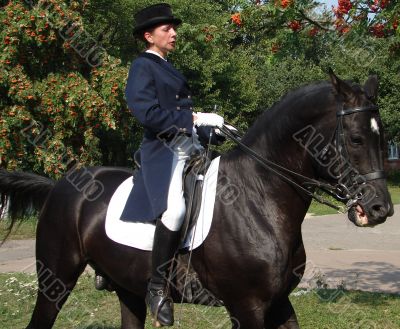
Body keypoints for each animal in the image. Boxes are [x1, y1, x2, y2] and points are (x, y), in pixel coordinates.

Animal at [0, 72, 394, 328]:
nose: (380, 209)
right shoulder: (247, 307)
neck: (259, 196)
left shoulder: (279, 303)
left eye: (383, 136)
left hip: (126, 287)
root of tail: (61, 185)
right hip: (56, 280)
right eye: (356, 138)